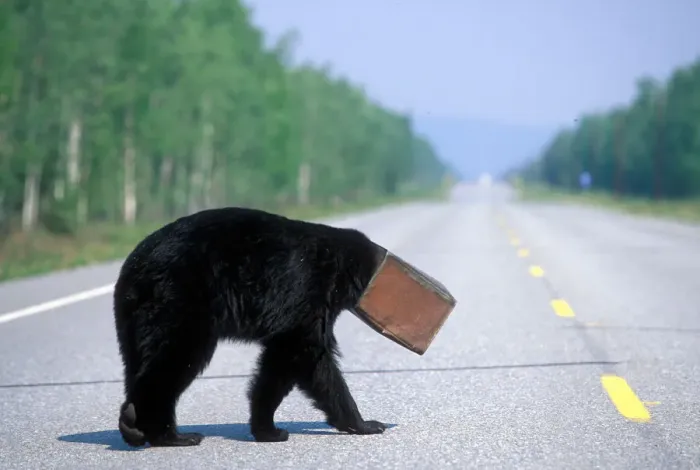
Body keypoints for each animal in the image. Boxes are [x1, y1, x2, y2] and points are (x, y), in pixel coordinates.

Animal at [113, 206, 388, 447]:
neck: (336, 263)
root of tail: (133, 265)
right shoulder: (306, 291)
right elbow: (301, 353)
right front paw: (365, 424)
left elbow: (291, 362)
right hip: (179, 299)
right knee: (176, 357)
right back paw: (170, 435)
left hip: (133, 318)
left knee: (138, 362)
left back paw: (132, 425)